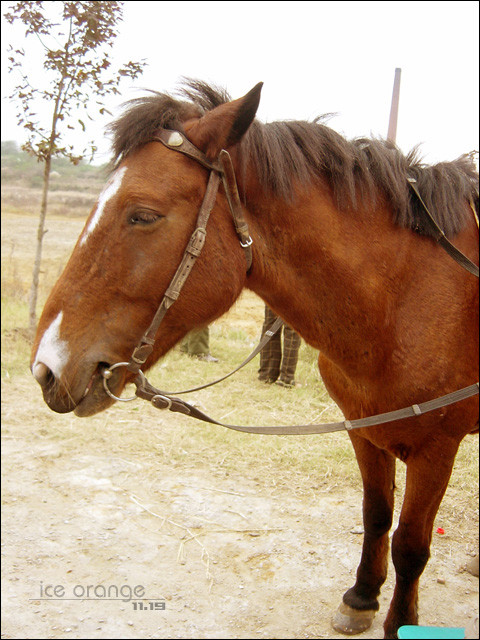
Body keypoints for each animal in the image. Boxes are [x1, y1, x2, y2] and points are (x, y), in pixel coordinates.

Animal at [31, 79, 478, 636]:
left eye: (143, 215)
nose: (46, 366)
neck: (405, 296)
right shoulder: (363, 429)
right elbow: (376, 515)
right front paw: (361, 597)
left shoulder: (437, 448)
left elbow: (412, 546)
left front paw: (400, 621)